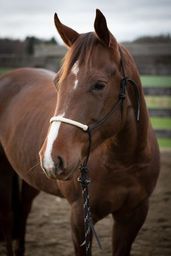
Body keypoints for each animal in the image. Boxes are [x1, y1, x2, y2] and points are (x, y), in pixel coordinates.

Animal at [0, 9, 160, 256]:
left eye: (99, 85)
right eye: (57, 82)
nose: (51, 159)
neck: (123, 162)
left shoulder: (133, 216)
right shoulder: (79, 217)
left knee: (23, 212)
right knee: (8, 217)